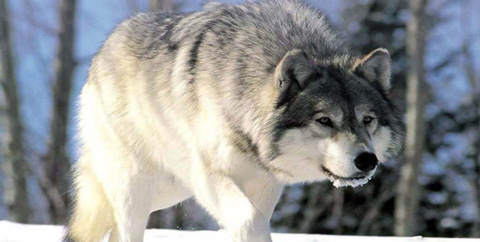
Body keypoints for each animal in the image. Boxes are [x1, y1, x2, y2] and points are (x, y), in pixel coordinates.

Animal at [65, 0, 404, 242]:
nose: (367, 161)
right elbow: (250, 221)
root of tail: (101, 52)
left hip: (171, 190)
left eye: (367, 120)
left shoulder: (265, 183)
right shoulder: (210, 175)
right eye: (324, 120)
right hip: (138, 186)